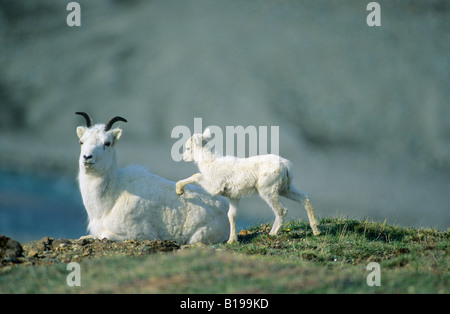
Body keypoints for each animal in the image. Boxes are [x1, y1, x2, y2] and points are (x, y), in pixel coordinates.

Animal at [176, 127, 320, 243]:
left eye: (188, 148)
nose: (183, 158)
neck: (210, 163)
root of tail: (285, 165)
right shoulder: (233, 197)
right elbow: (231, 215)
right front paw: (232, 240)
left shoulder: (213, 186)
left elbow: (196, 176)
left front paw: (179, 190)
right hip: (286, 188)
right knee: (304, 198)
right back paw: (316, 231)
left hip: (268, 190)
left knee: (281, 210)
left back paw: (272, 233)